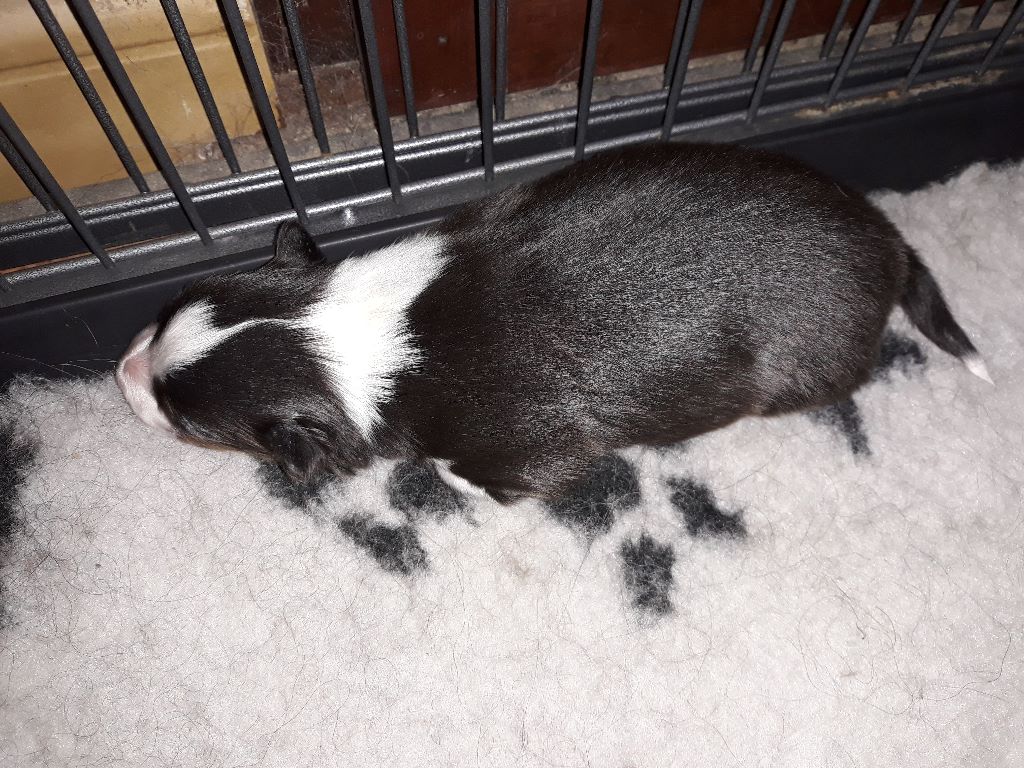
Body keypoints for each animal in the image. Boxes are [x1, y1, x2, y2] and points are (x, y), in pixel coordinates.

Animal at [116, 142, 989, 503]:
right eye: (165, 311)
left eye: (186, 419)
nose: (121, 374)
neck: (342, 325)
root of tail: (888, 238)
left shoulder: (532, 442)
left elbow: (479, 467)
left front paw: (451, 478)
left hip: (808, 363)